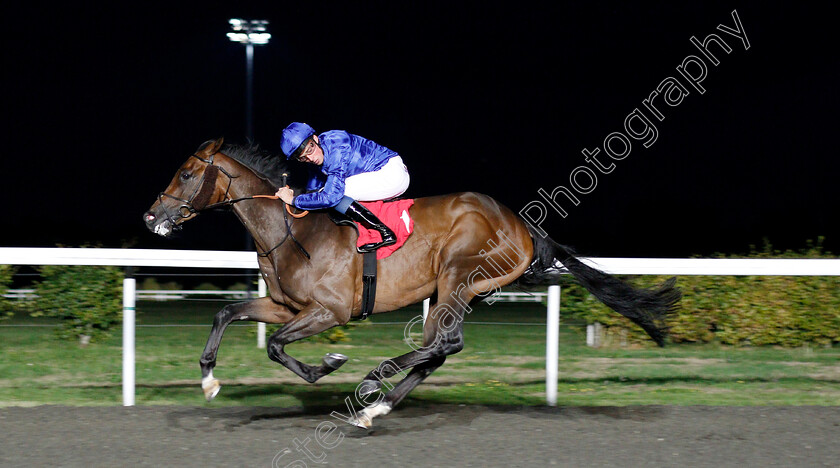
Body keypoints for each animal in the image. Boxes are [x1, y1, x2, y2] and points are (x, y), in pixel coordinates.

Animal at [146, 138, 684, 428]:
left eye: (187, 173)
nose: (152, 216)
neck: (292, 230)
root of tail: (523, 225)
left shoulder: (329, 311)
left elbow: (278, 346)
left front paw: (329, 364)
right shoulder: (286, 306)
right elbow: (227, 313)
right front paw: (209, 380)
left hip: (458, 277)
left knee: (444, 343)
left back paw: (374, 380)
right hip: (456, 290)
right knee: (437, 349)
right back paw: (376, 408)